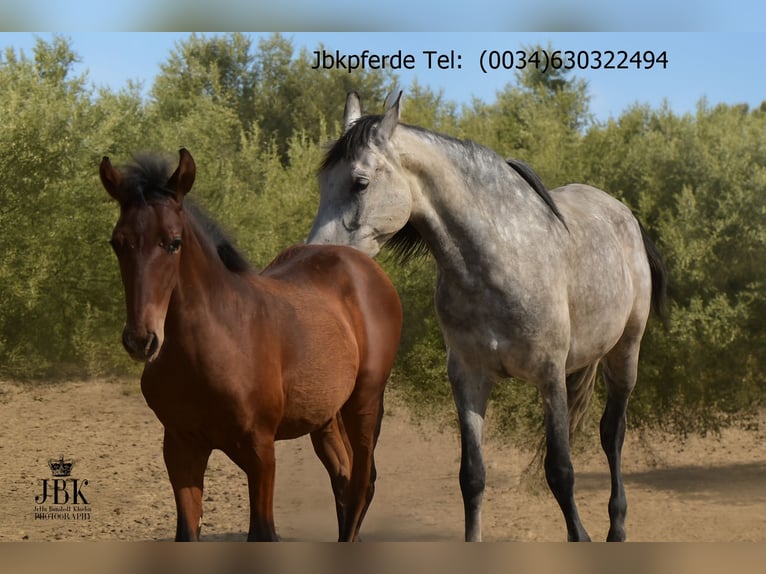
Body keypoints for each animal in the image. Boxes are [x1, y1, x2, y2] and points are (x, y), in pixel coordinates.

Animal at [100, 148, 402, 542]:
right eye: (117, 242)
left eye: (174, 242)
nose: (141, 339)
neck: (214, 345)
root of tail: (366, 268)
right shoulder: (181, 447)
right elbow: (187, 532)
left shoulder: (260, 450)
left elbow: (262, 531)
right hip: (325, 416)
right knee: (343, 478)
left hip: (364, 402)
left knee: (362, 485)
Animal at [307, 91, 668, 542]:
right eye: (323, 182)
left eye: (360, 182)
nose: (316, 257)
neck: (498, 260)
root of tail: (625, 215)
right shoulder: (468, 378)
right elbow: (473, 475)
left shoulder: (549, 374)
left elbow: (560, 470)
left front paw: (580, 536)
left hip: (625, 352)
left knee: (612, 433)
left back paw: (616, 527)